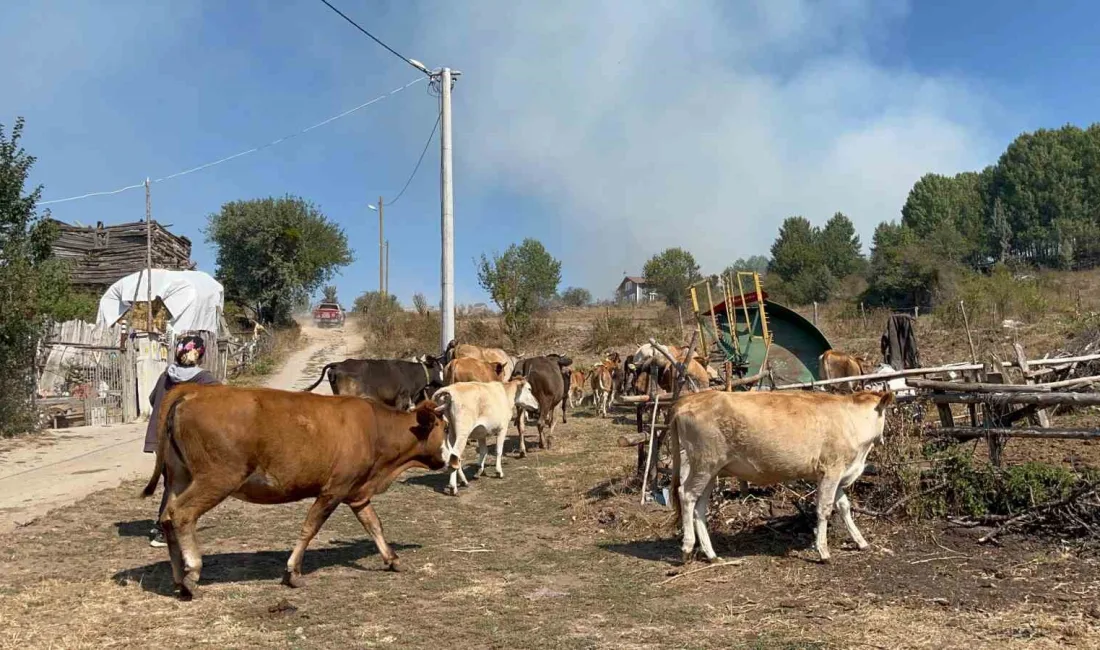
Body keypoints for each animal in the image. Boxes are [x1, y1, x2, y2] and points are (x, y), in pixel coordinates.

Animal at [141, 384, 446, 602]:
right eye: (442, 426)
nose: (449, 458)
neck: (376, 428)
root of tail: (193, 391)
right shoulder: (333, 490)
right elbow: (310, 527)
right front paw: (293, 571)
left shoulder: (357, 492)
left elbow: (374, 525)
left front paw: (392, 559)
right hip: (216, 478)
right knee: (182, 514)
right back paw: (192, 573)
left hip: (179, 477)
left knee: (166, 518)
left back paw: (179, 579)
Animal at [664, 389, 888, 567]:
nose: (882, 439)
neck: (850, 420)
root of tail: (688, 399)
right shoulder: (831, 469)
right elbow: (824, 509)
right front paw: (823, 551)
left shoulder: (838, 473)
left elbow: (844, 506)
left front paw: (861, 541)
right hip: (703, 464)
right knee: (686, 495)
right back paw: (687, 548)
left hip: (711, 471)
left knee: (699, 507)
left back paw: (711, 554)